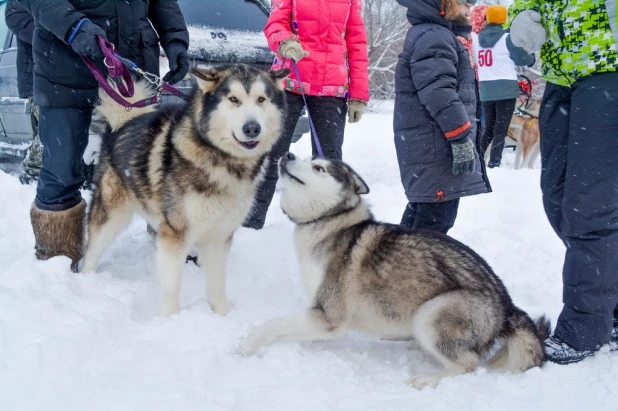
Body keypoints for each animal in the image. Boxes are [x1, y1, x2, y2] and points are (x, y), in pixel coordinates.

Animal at [81, 64, 288, 318]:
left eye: (261, 99)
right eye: (233, 99)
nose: (252, 128)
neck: (223, 162)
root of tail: (121, 126)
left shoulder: (220, 235)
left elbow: (218, 281)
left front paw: (223, 314)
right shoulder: (175, 233)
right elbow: (172, 285)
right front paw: (170, 318)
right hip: (111, 215)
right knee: (93, 248)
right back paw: (86, 280)